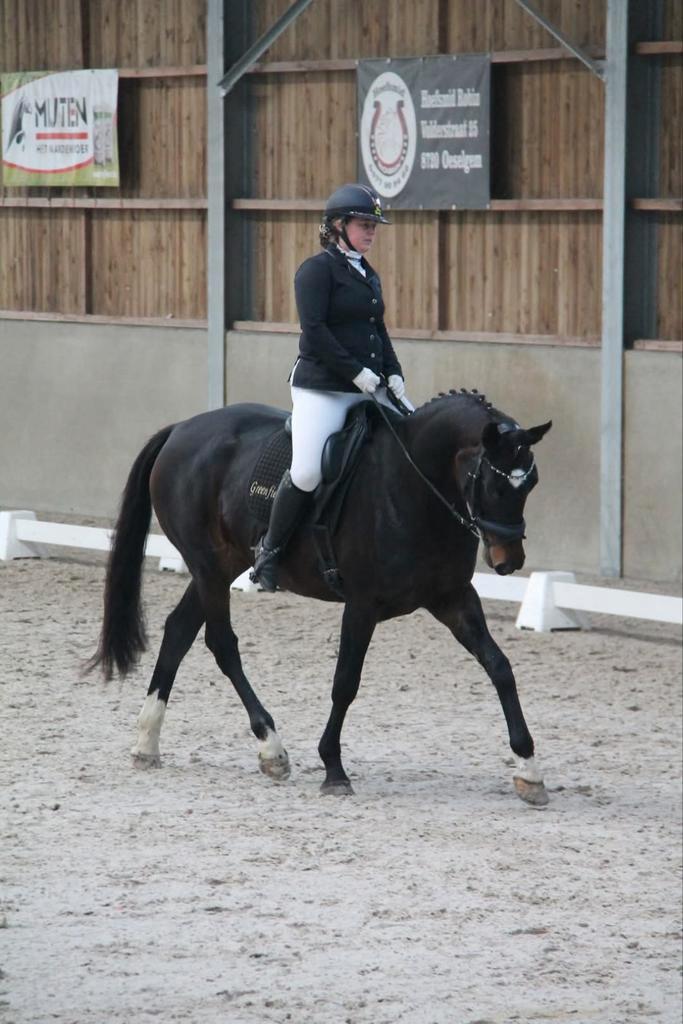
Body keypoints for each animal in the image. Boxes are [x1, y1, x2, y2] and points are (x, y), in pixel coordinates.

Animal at [88, 390, 552, 807]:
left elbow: (499, 667)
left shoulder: (453, 597)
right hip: (207, 565)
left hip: (219, 568)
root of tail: (181, 429)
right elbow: (345, 682)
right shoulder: (363, 604)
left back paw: (147, 742)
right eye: (492, 483)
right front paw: (333, 769)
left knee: (179, 631)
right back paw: (271, 749)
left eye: (530, 483)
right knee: (221, 644)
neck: (414, 486)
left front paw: (529, 771)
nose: (509, 561)